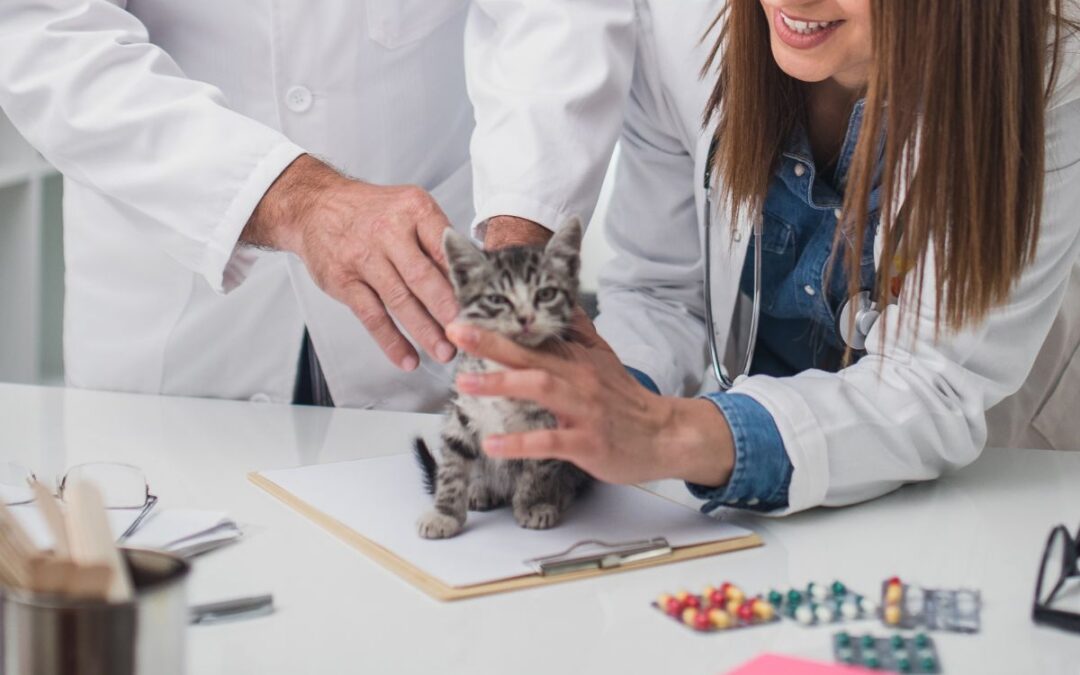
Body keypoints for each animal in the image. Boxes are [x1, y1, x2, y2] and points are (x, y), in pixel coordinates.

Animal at [414, 220, 600, 537]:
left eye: (546, 294)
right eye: (496, 299)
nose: (525, 318)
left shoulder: (550, 424)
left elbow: (538, 472)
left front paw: (532, 505)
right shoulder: (461, 412)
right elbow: (452, 467)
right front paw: (445, 513)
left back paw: (559, 494)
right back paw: (480, 488)